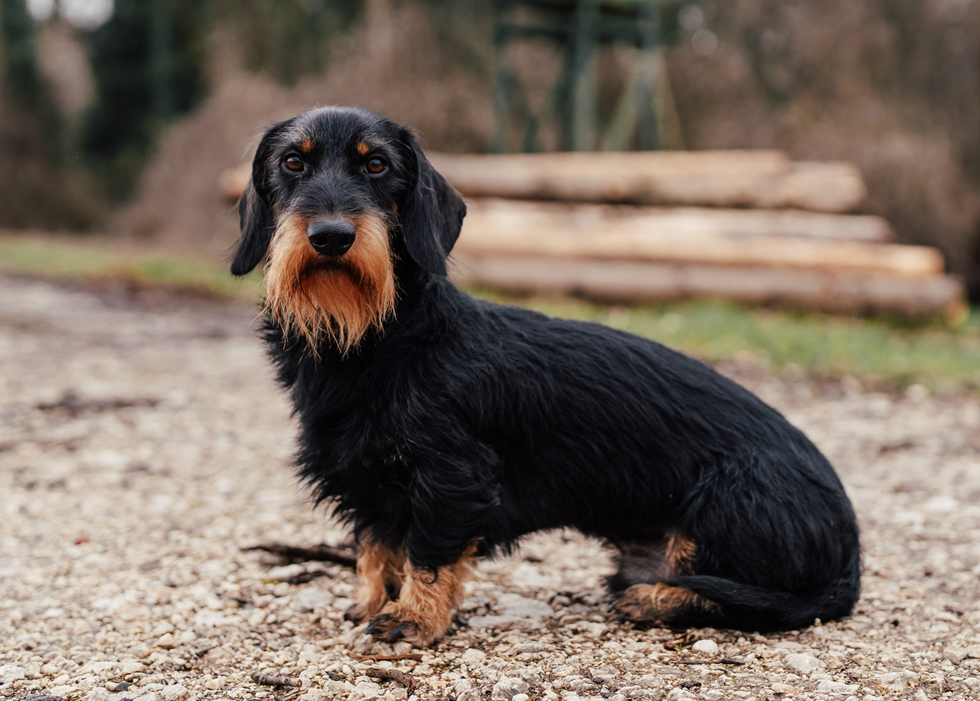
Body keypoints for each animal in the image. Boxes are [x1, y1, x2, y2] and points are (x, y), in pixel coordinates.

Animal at [230, 106, 856, 648]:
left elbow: (428, 553)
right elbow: (377, 547)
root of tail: (851, 547)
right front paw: (373, 600)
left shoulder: (453, 477)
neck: (372, 341)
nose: (332, 236)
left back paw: (659, 599)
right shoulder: (368, 478)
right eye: (293, 162)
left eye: (377, 165)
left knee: (748, 600)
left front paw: (412, 618)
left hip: (729, 504)